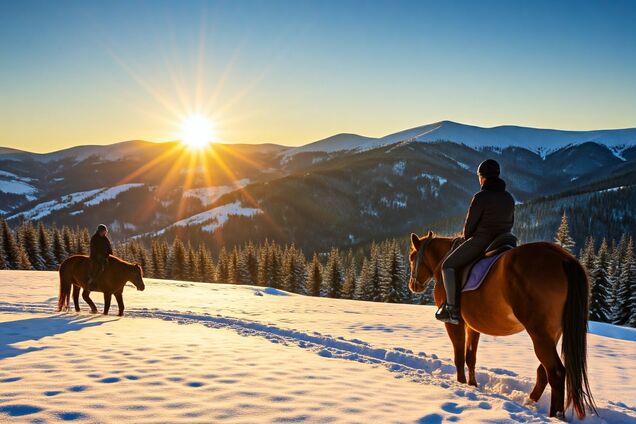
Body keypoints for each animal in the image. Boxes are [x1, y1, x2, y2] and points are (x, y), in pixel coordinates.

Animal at [408, 232, 596, 420]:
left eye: (411, 257)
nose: (413, 285)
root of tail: (563, 258)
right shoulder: (472, 326)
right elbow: (470, 357)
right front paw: (472, 385)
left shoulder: (454, 324)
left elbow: (459, 357)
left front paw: (461, 384)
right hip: (552, 334)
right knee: (544, 371)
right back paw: (532, 402)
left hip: (540, 334)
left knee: (556, 373)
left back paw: (555, 415)